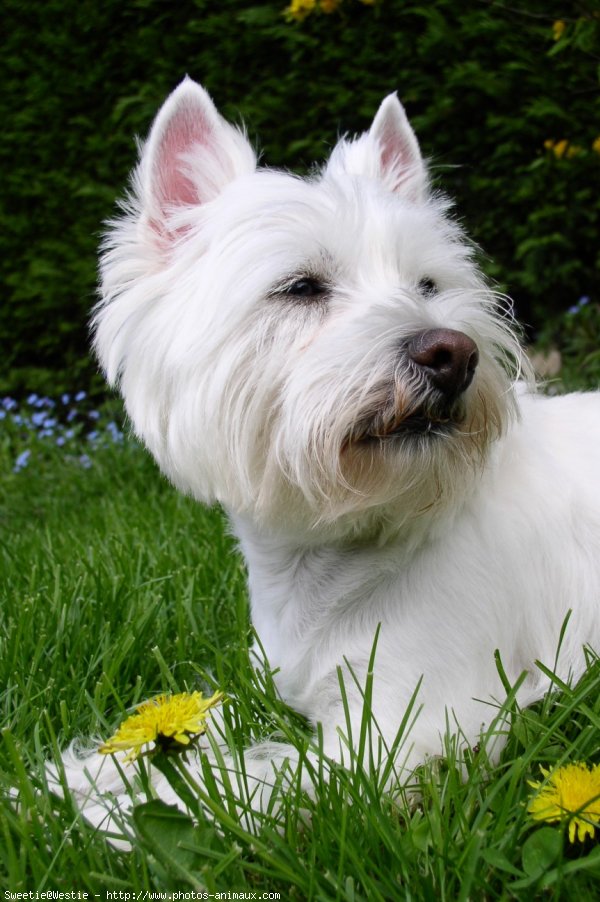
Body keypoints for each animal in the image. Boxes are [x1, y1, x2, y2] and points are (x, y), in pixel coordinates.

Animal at [56, 77, 600, 832]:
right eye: (301, 287)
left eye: (428, 286)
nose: (452, 353)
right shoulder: (268, 680)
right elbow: (192, 725)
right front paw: (86, 772)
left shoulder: (408, 727)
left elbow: (245, 784)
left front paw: (94, 809)